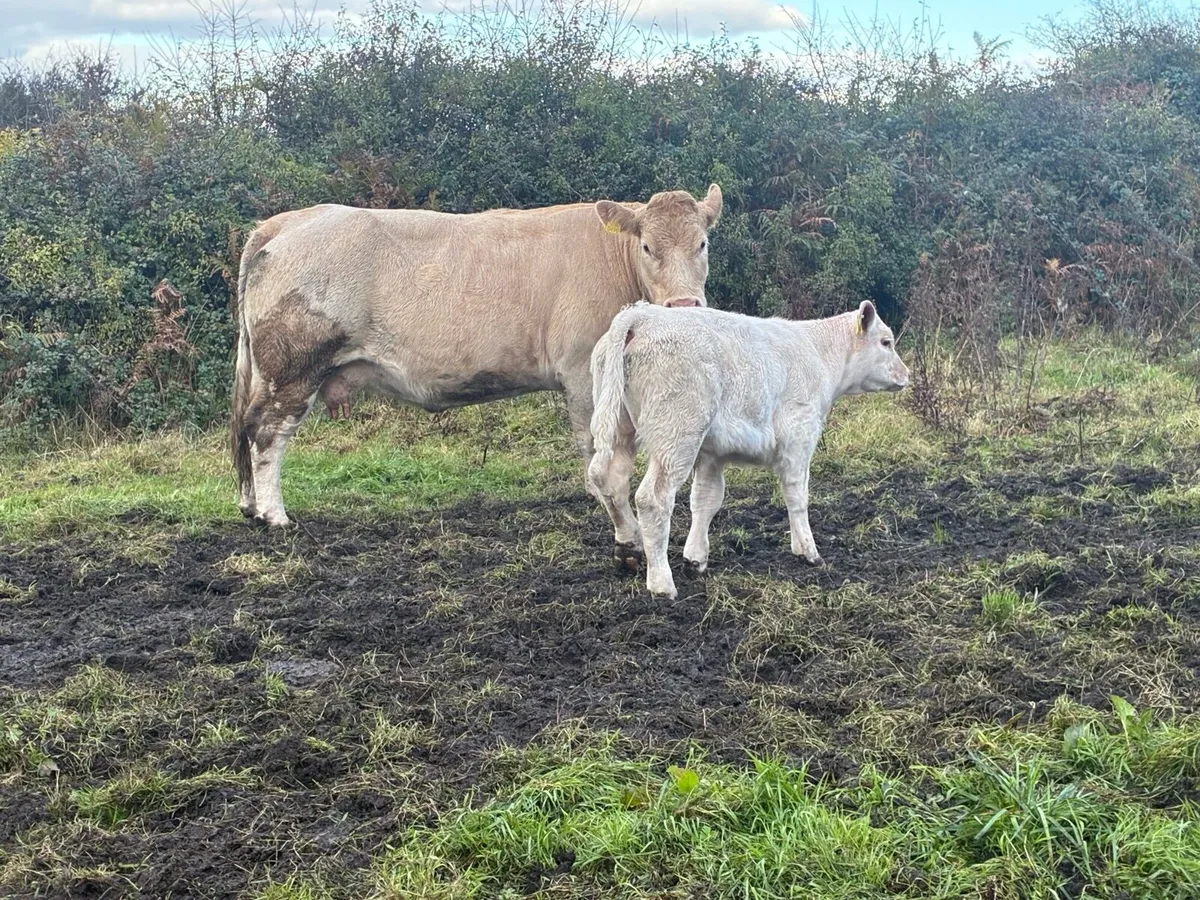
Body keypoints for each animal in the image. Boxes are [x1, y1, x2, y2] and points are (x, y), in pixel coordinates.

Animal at [231, 185, 723, 531]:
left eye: (701, 244)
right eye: (647, 247)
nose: (684, 305)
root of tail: (289, 221)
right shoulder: (583, 369)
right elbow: (592, 442)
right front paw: (599, 494)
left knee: (249, 429)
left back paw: (251, 506)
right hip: (293, 369)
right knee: (267, 432)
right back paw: (274, 515)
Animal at [587, 299, 910, 598]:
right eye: (886, 342)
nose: (905, 375)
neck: (818, 353)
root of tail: (643, 315)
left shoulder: (711, 454)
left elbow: (706, 499)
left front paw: (696, 559)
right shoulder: (799, 436)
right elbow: (797, 495)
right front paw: (807, 550)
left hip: (621, 427)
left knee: (609, 480)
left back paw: (628, 546)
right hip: (677, 435)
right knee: (651, 498)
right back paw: (661, 584)